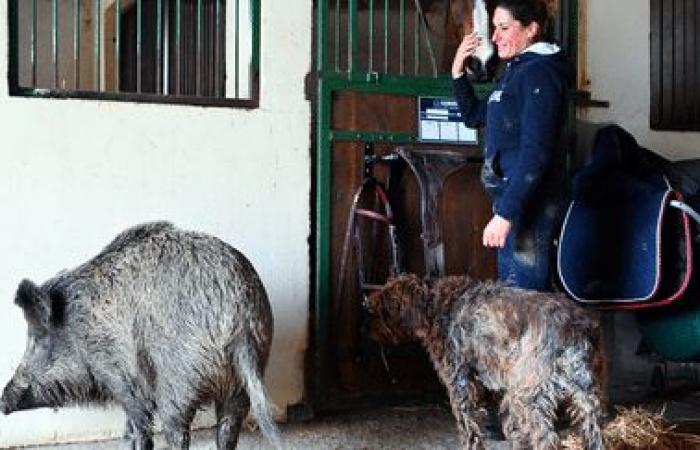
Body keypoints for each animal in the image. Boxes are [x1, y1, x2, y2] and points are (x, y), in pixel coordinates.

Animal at [366, 274, 608, 450]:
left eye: (380, 310)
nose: (367, 329)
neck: (437, 304)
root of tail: (575, 329)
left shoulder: (460, 382)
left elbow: (469, 427)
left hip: (528, 398)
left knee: (546, 440)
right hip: (586, 401)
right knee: (595, 438)